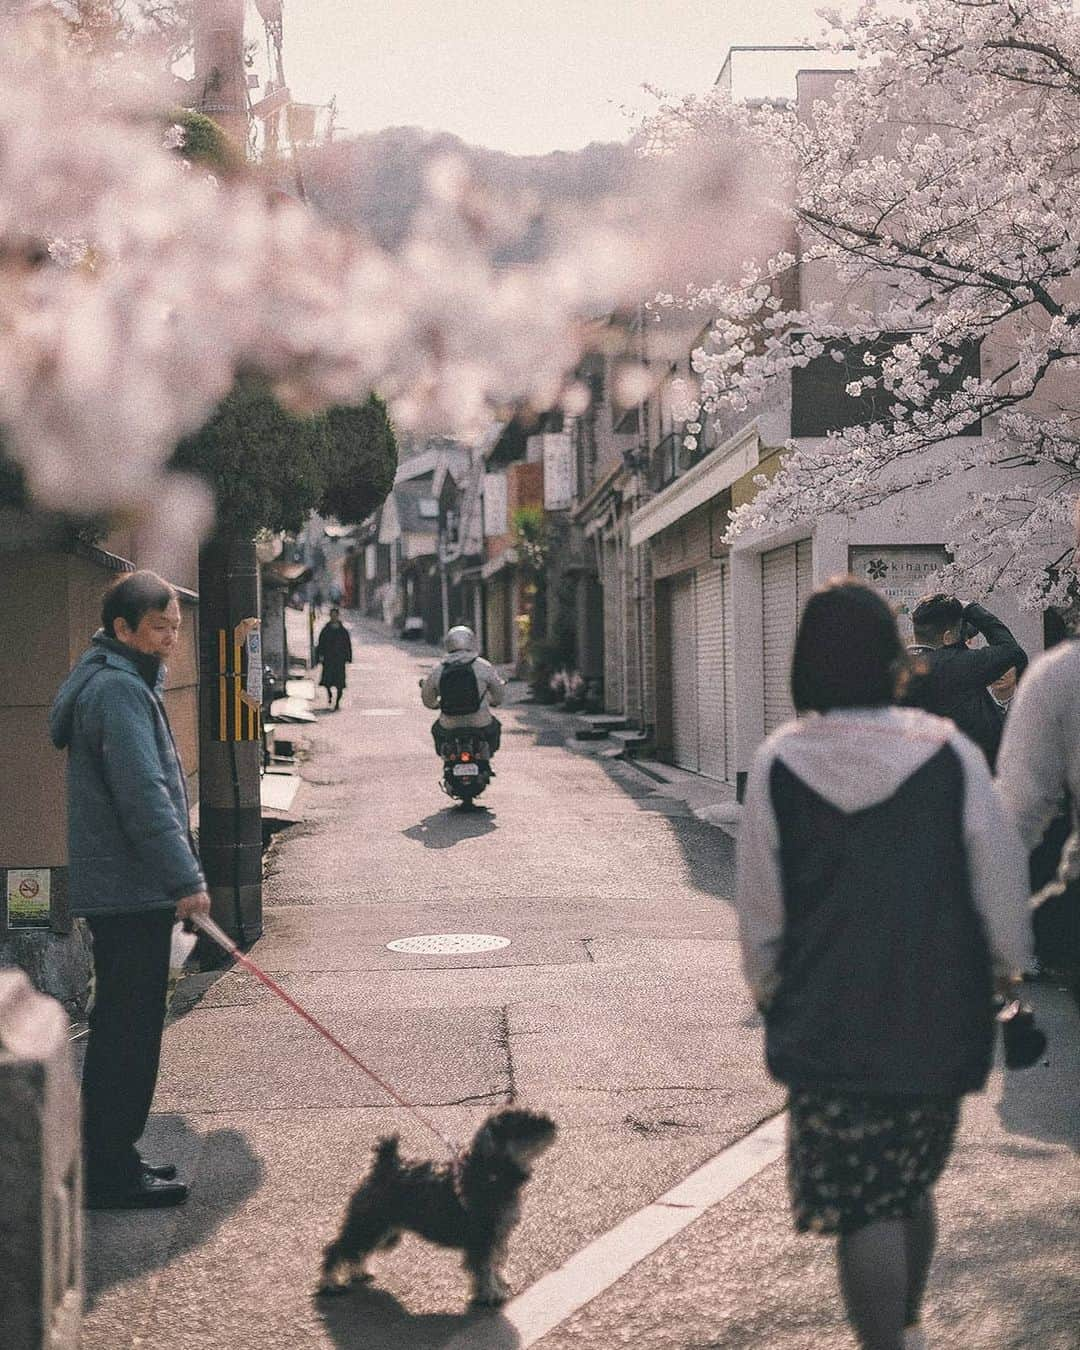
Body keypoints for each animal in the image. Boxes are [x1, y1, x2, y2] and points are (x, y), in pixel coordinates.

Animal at [314, 1107, 553, 1306]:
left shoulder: (498, 1236)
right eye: (522, 1123)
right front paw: (490, 1294)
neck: (490, 1172)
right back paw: (329, 1283)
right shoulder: (482, 1238)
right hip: (370, 1224)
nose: (550, 1121)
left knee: (357, 1251)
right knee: (338, 1248)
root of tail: (384, 1165)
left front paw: (498, 1285)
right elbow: (484, 1267)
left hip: (383, 1230)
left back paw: (358, 1272)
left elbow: (495, 1262)